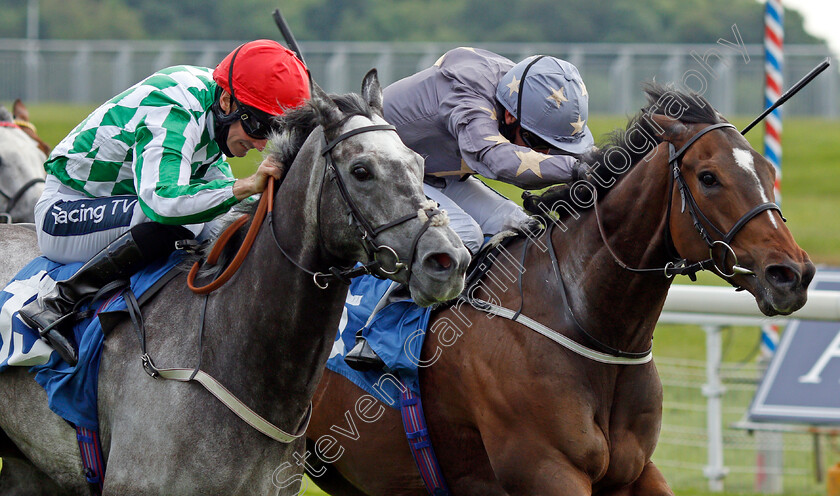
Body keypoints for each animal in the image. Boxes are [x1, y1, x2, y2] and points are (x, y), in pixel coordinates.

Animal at [304, 83, 812, 494]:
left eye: (768, 171)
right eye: (709, 177)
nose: (792, 274)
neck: (591, 328)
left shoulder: (634, 471)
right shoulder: (546, 470)